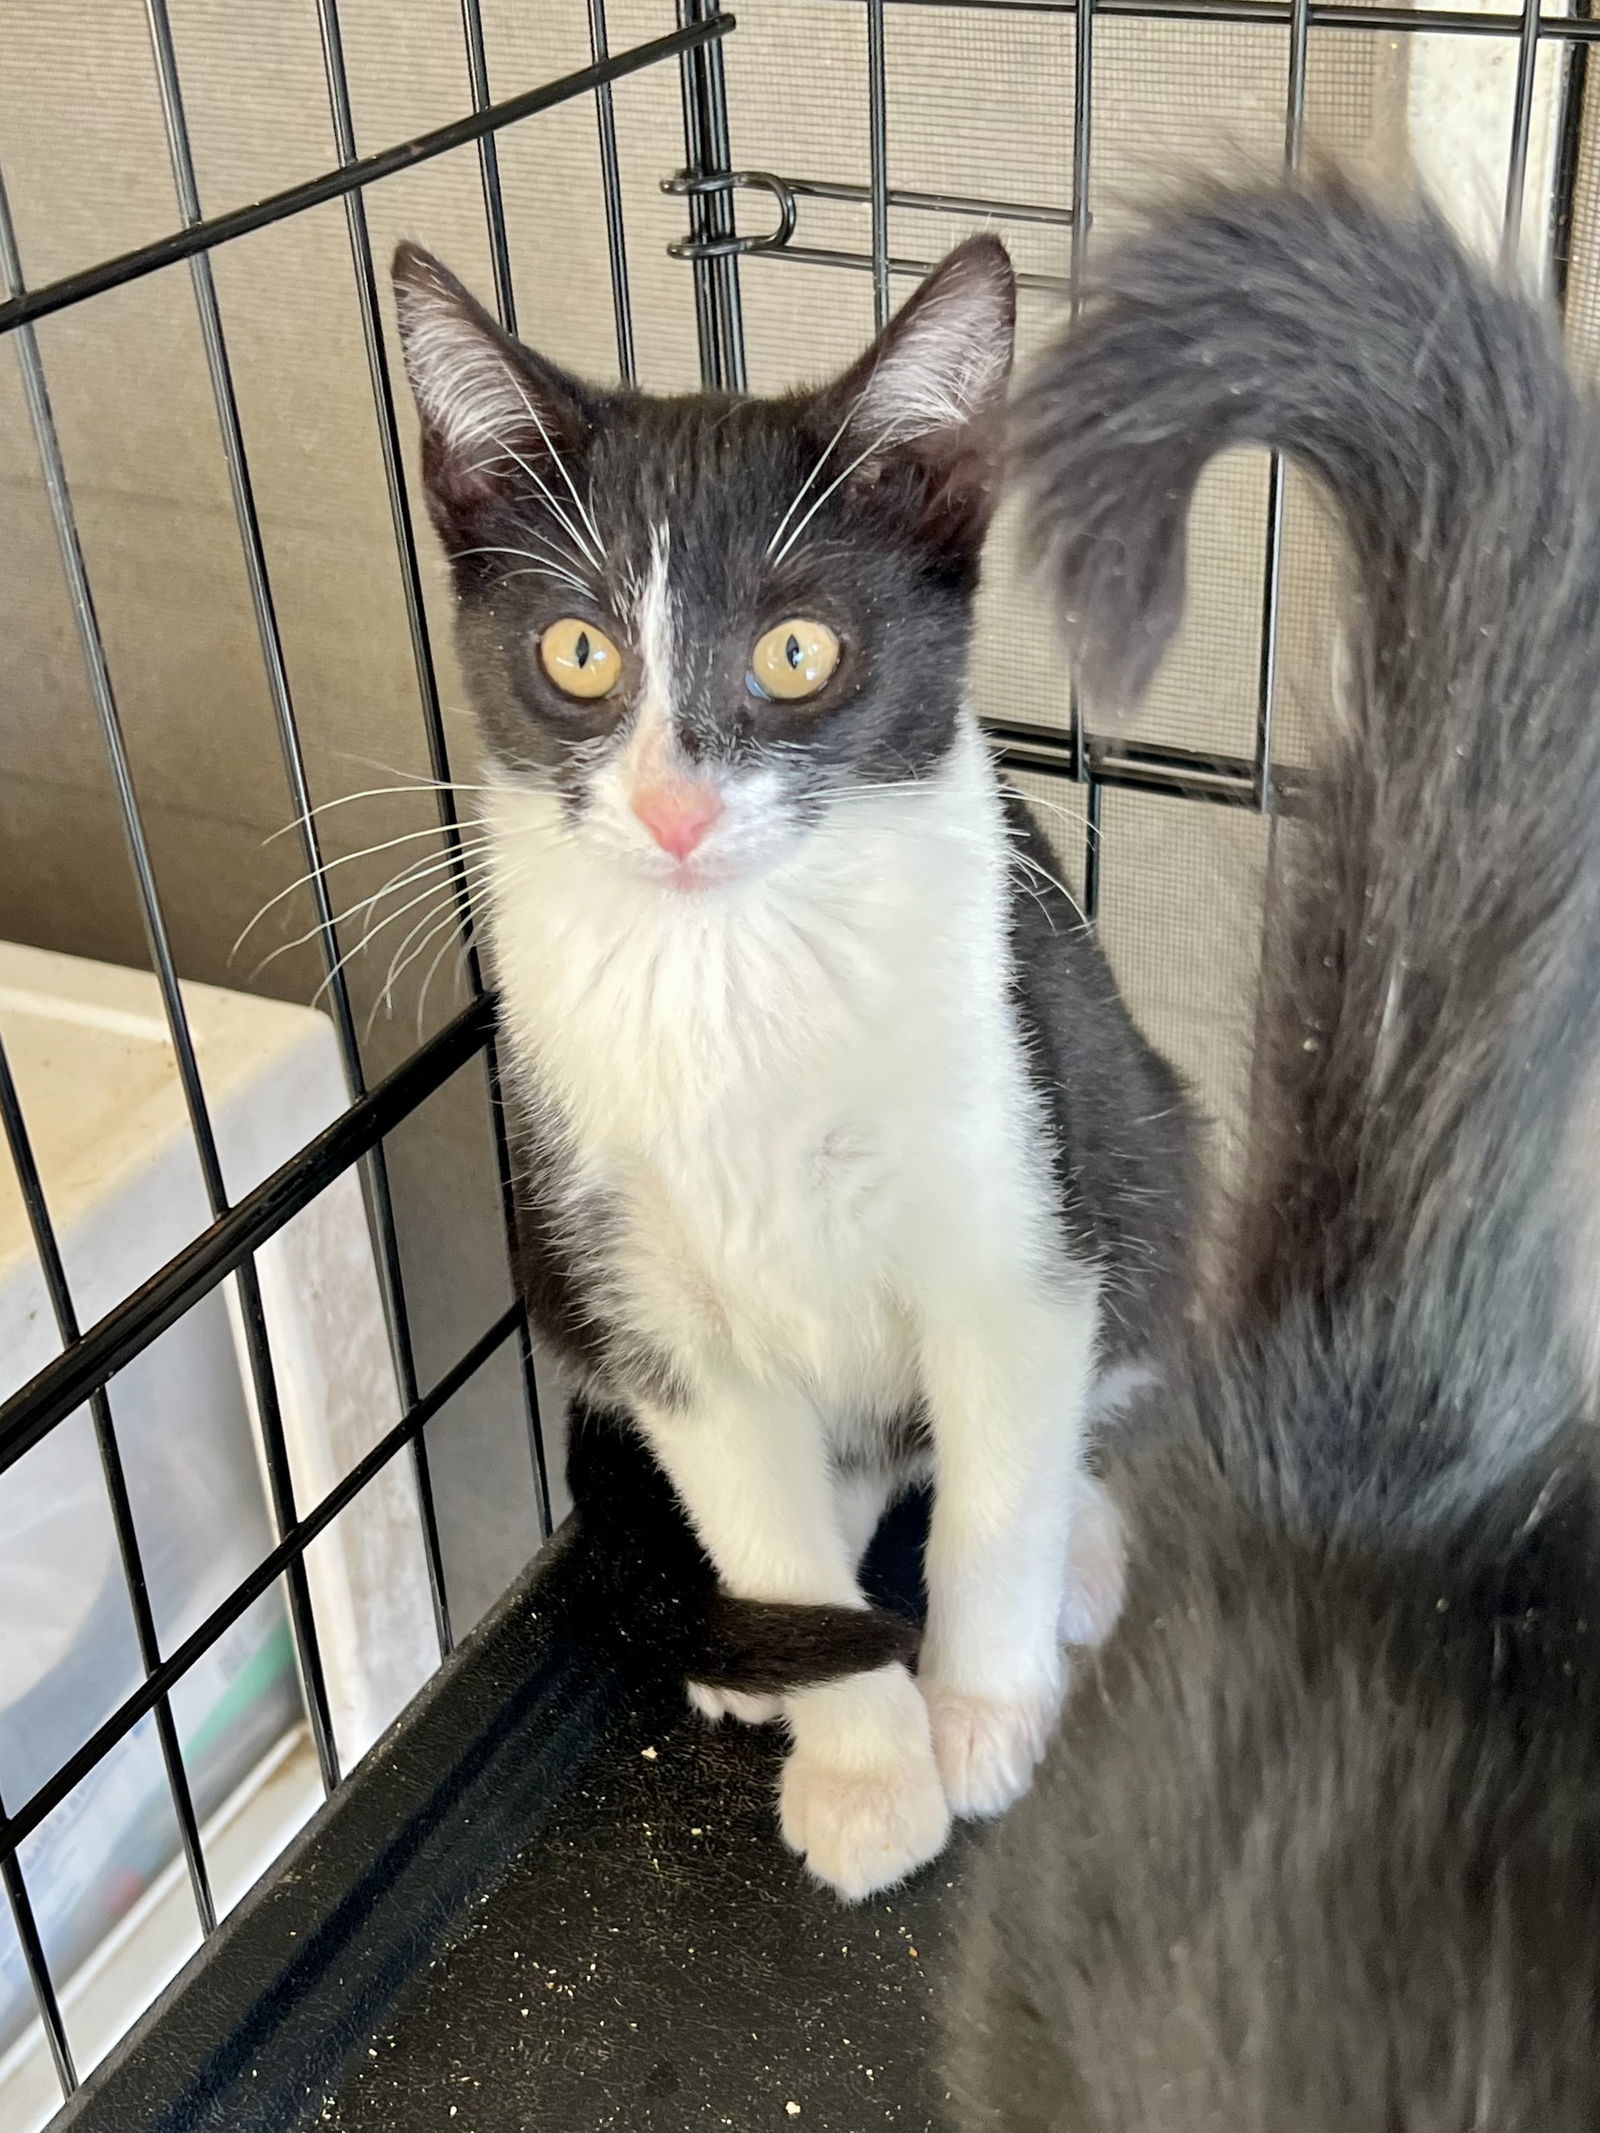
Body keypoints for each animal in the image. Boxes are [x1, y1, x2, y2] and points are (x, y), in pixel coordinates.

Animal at [392, 237, 1194, 1902]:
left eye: (797, 649)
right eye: (579, 650)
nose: (674, 806)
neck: (735, 983)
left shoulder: (1017, 1219)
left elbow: (996, 1492)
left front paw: (982, 1715)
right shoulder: (645, 1301)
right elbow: (756, 1506)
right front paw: (868, 1765)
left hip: (1143, 1130)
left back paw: (1081, 1552)